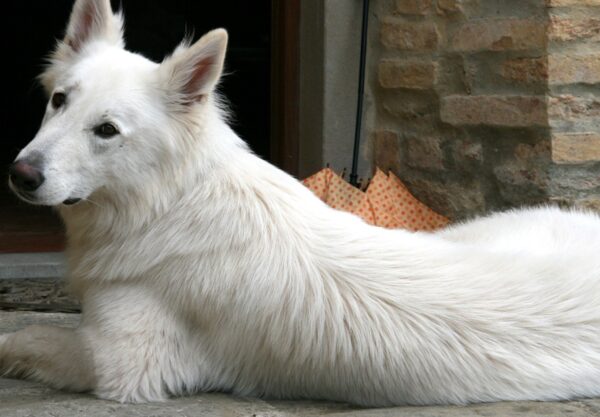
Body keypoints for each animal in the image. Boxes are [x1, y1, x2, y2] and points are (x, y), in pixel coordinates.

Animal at [3, 0, 600, 404]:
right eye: (59, 100)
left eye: (106, 130)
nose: (20, 175)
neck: (164, 202)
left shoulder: (121, 361)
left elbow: (25, 334)